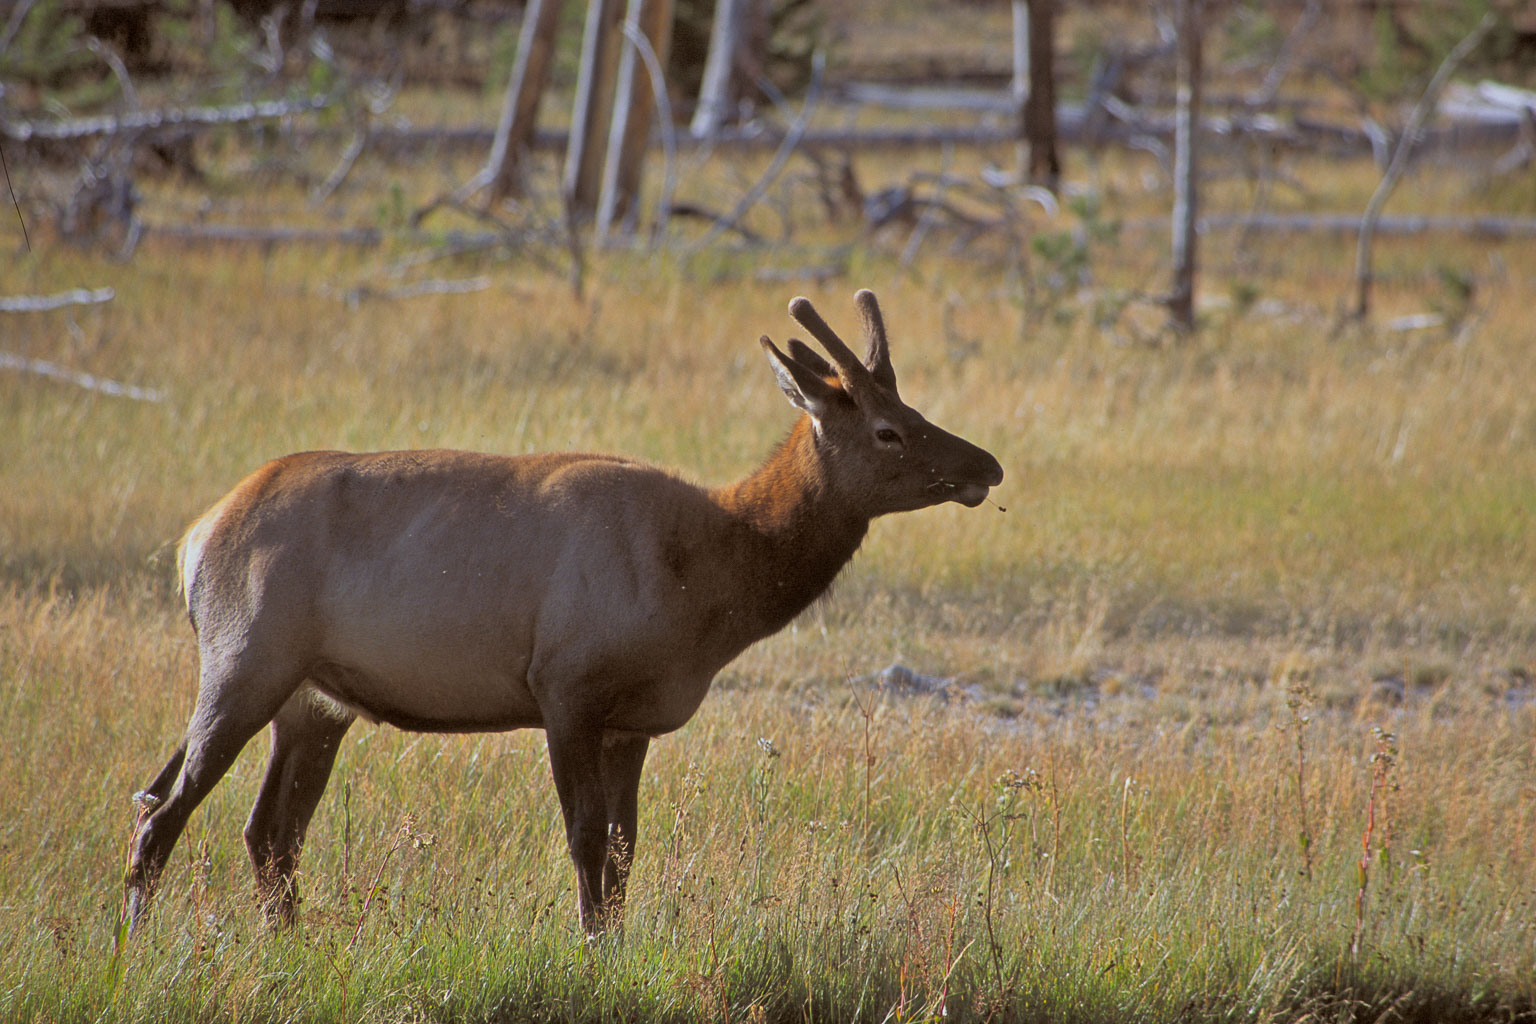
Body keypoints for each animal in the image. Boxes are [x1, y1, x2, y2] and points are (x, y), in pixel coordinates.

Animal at [122, 290, 1007, 939]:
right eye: (890, 430)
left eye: (916, 412)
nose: (988, 465)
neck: (709, 587)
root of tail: (194, 542)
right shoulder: (565, 686)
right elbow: (586, 843)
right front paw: (591, 952)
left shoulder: (632, 721)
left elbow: (624, 851)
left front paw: (614, 946)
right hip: (246, 659)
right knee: (165, 814)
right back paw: (134, 945)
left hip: (313, 700)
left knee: (264, 830)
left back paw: (289, 944)